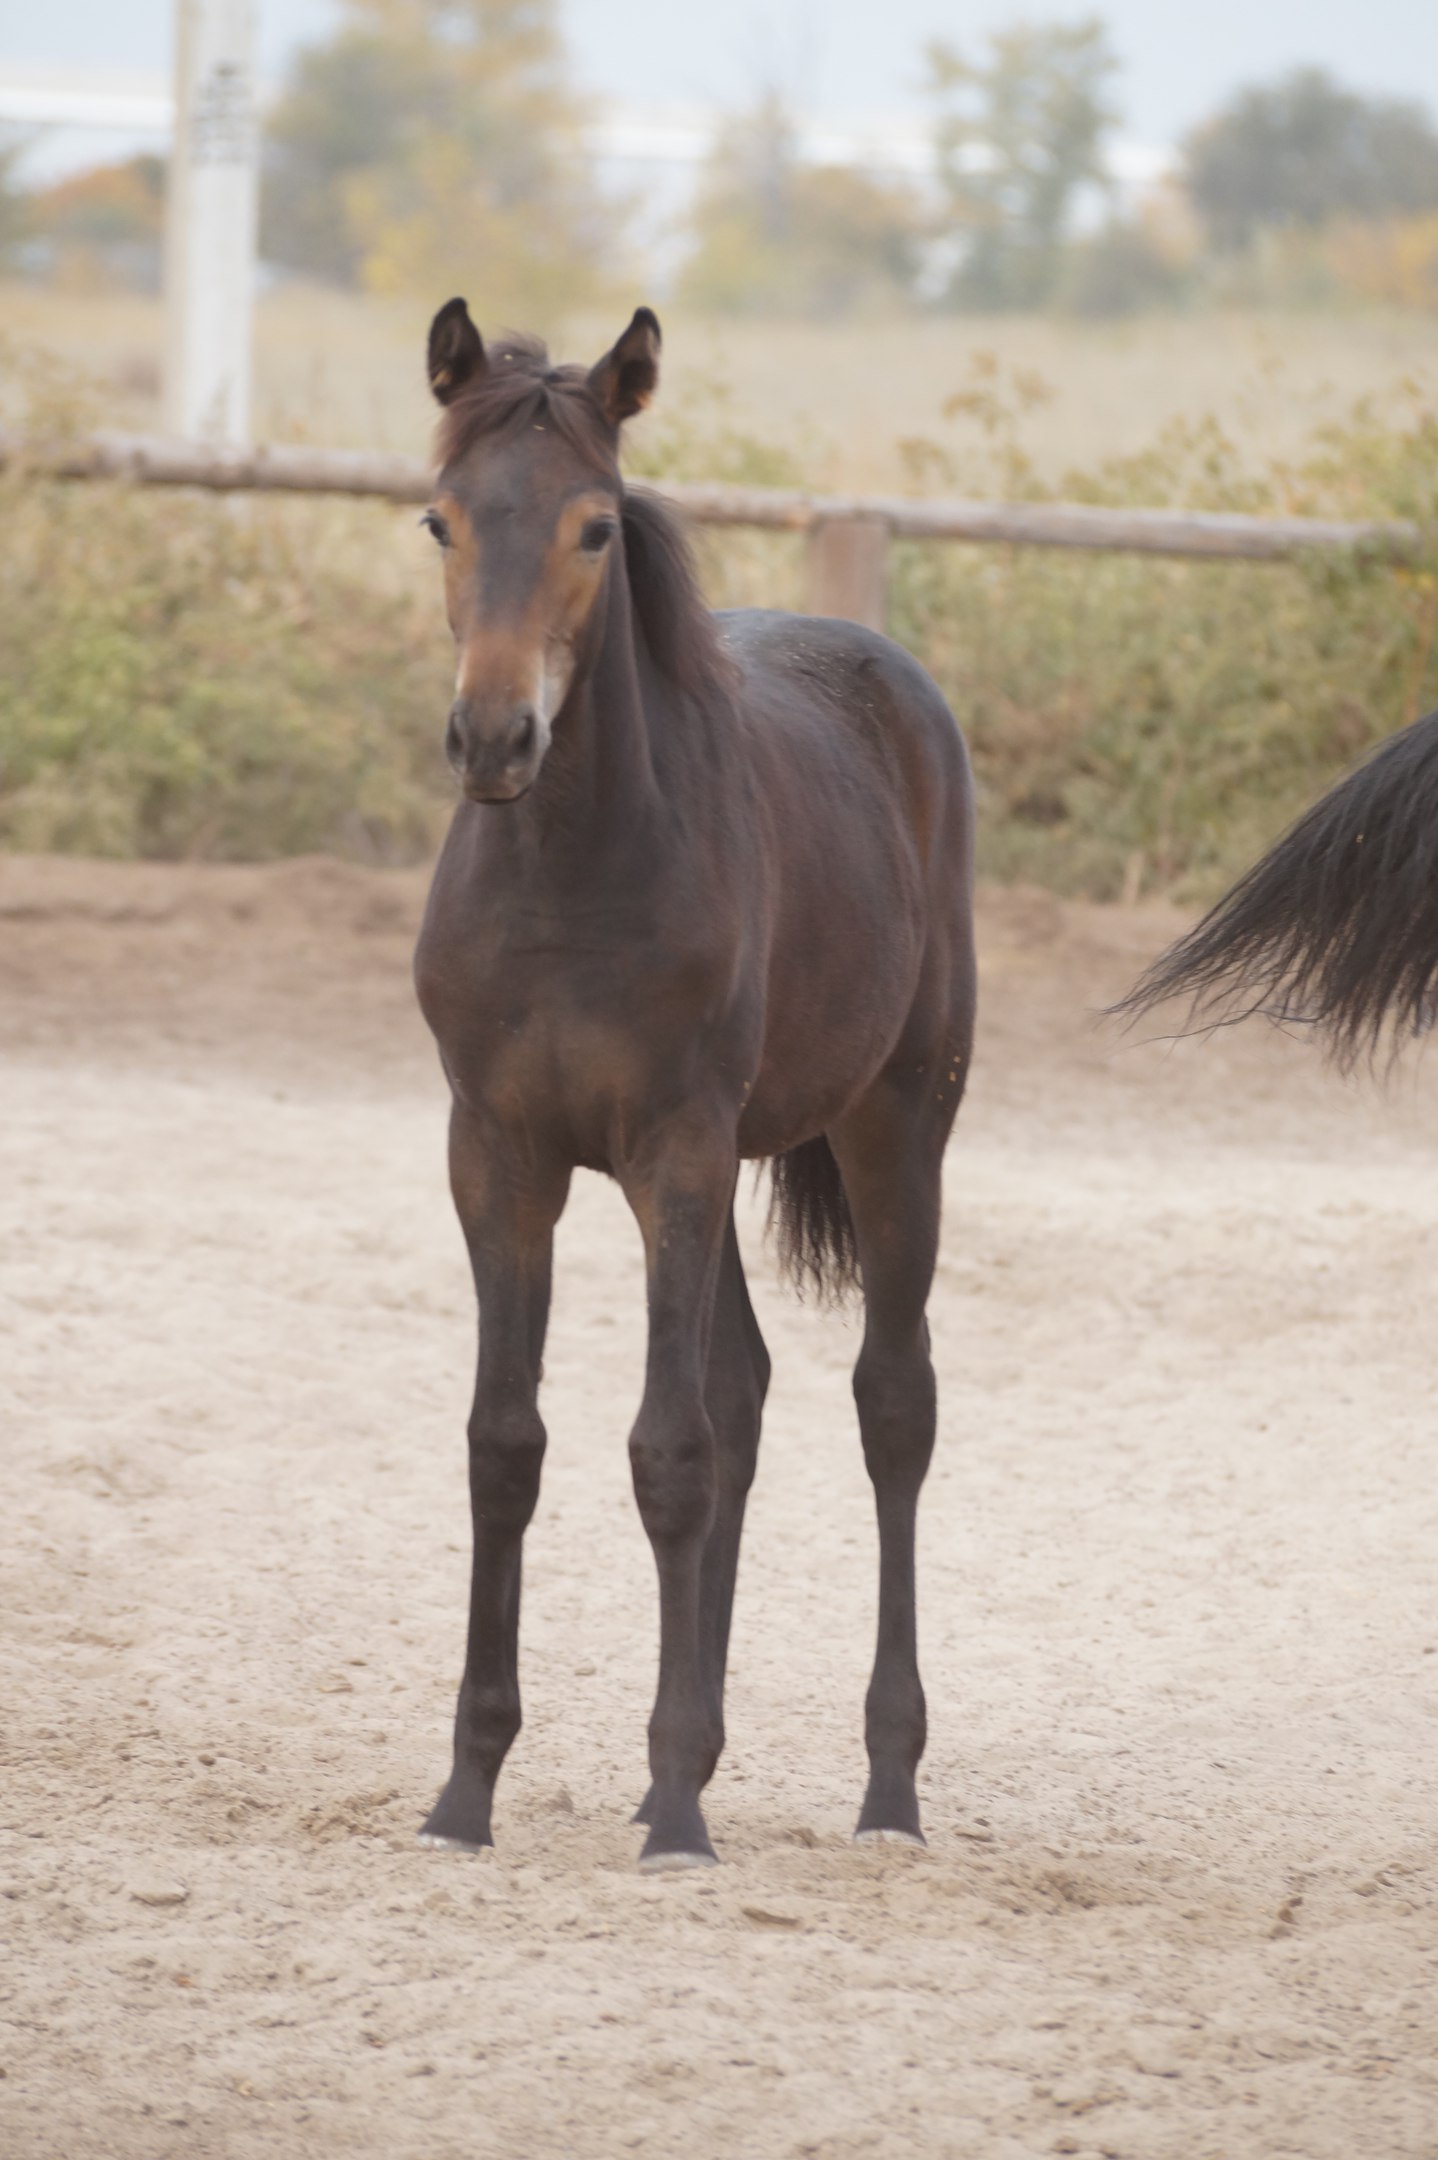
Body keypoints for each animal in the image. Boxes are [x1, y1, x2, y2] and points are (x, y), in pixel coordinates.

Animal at [408, 295, 980, 1866]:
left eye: (596, 528)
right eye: (437, 520)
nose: (493, 738)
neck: (573, 874)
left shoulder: (676, 1148)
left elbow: (667, 1450)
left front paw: (671, 1817)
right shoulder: (497, 1155)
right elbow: (503, 1445)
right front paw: (468, 1795)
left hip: (896, 1122)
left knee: (892, 1404)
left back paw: (885, 1790)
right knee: (747, 1385)